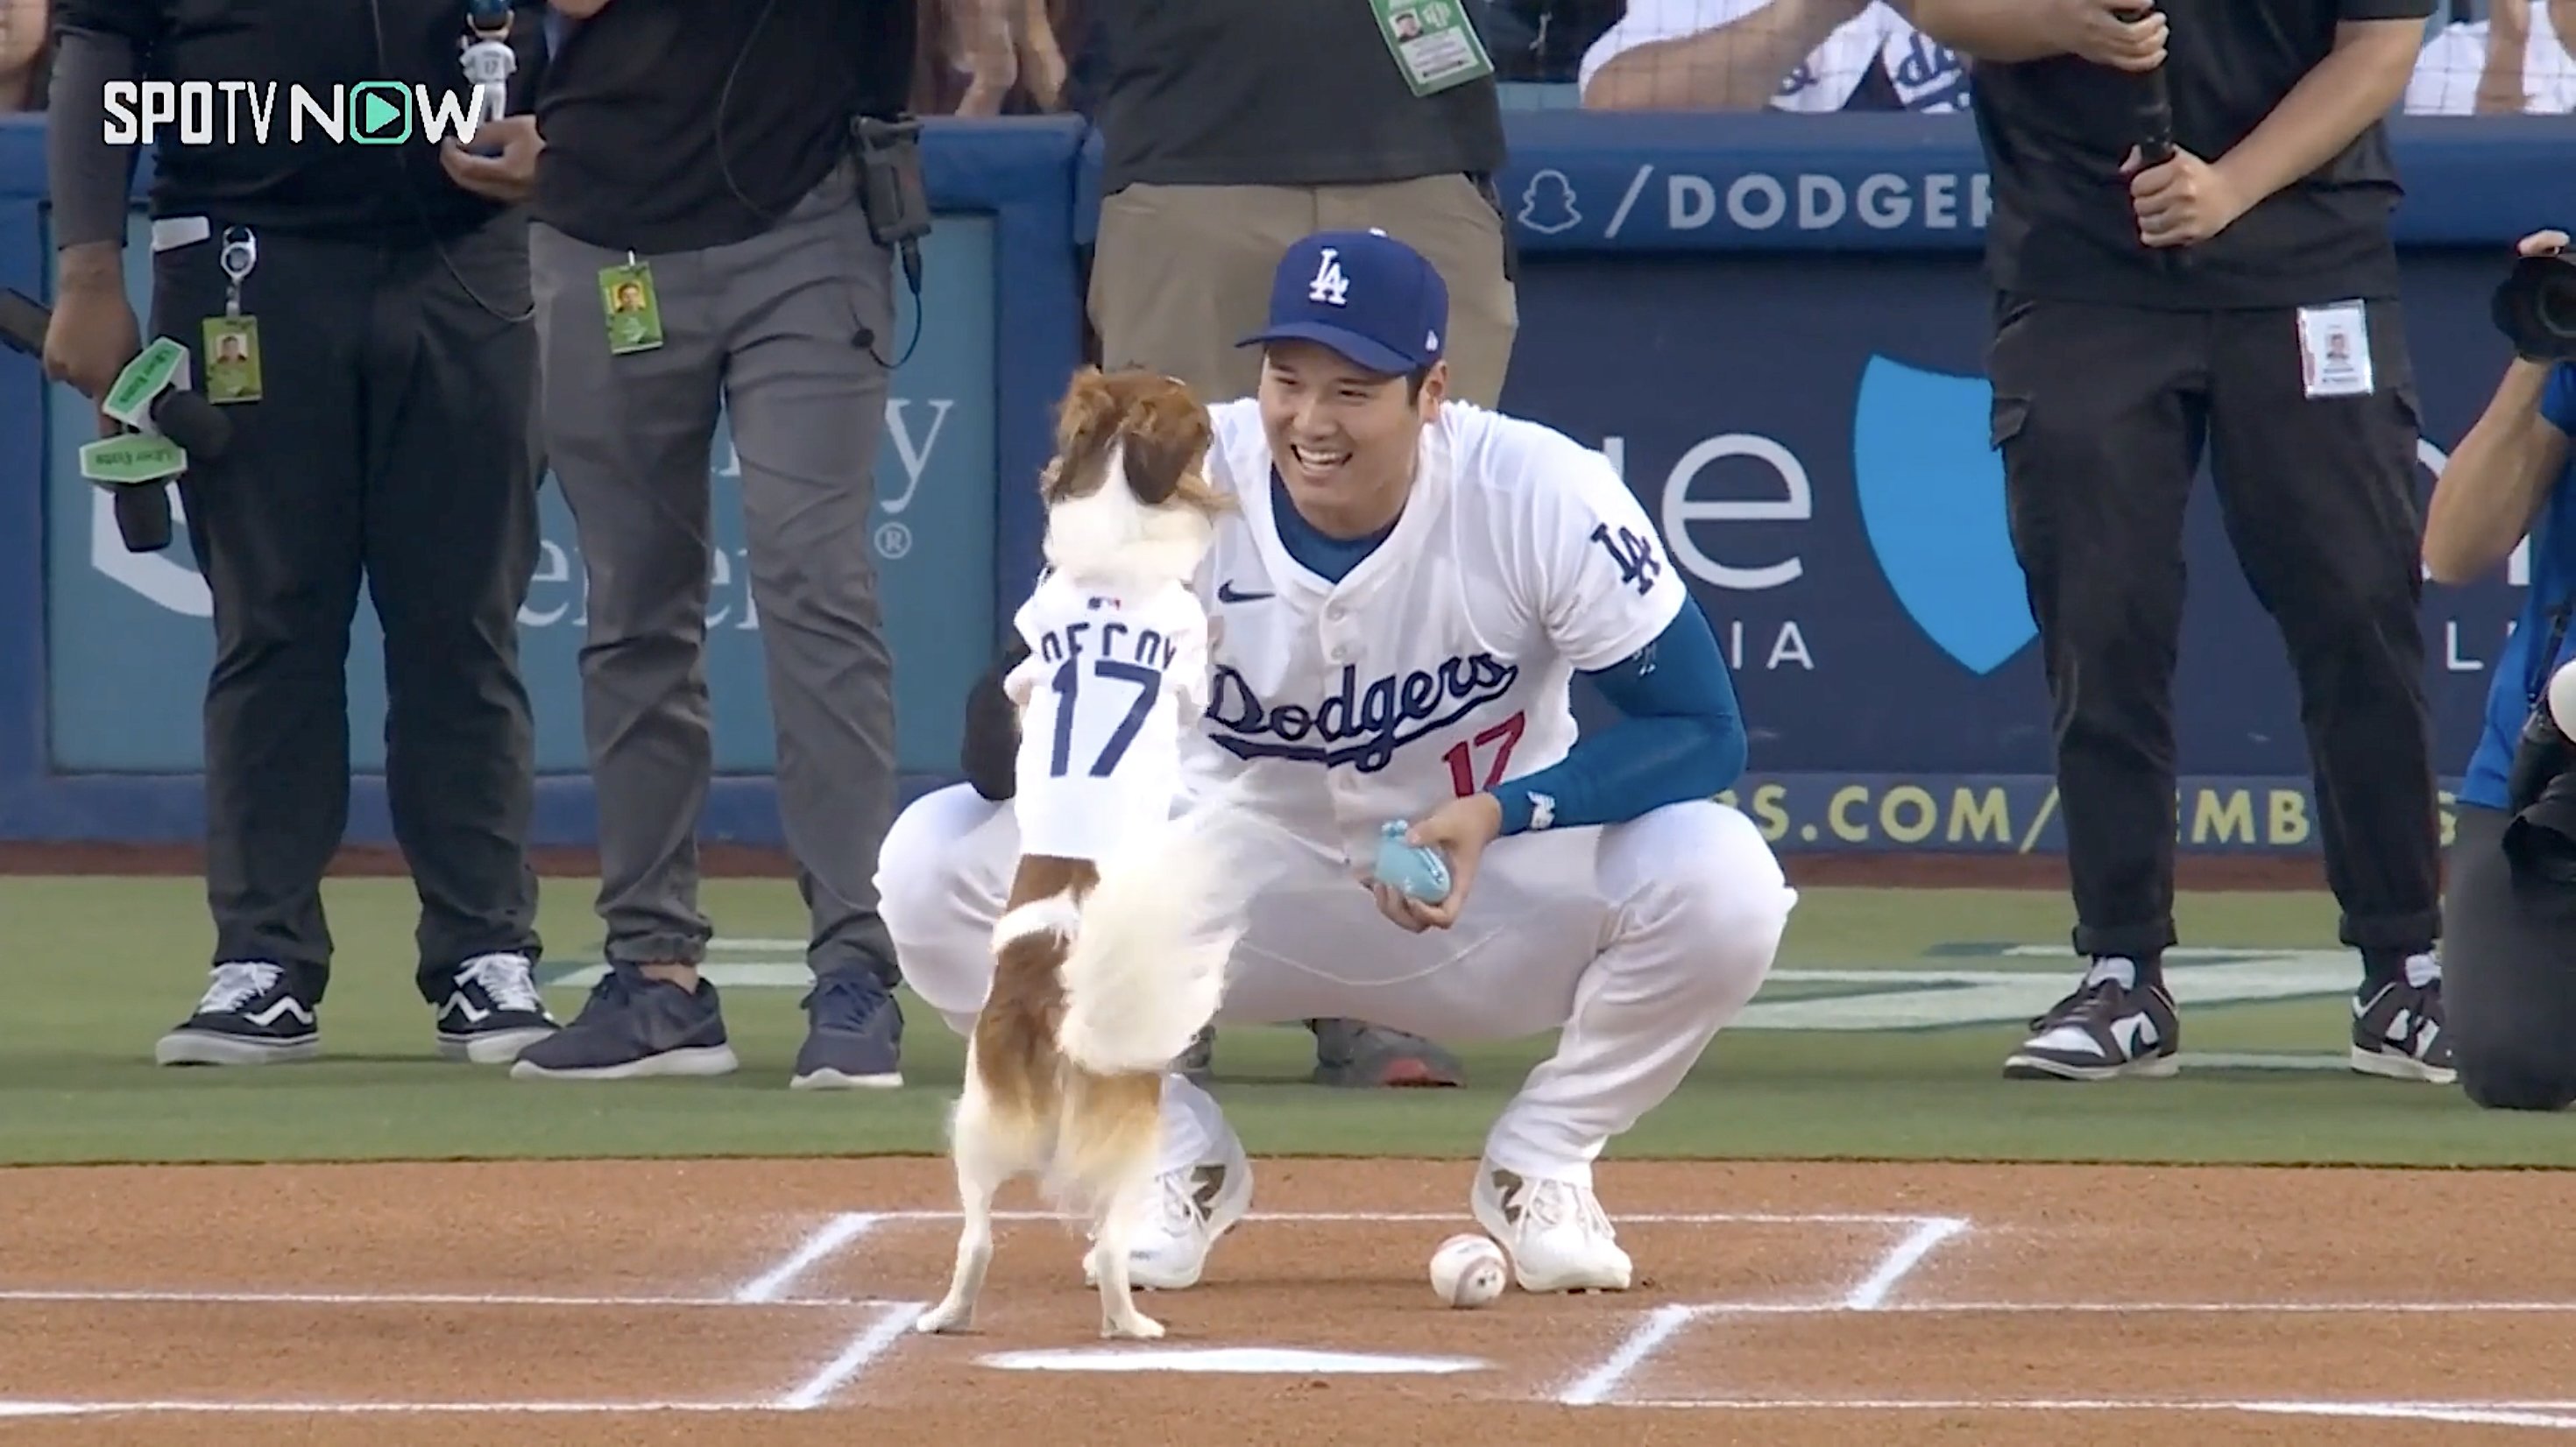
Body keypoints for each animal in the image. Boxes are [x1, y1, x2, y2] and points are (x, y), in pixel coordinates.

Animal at [916, 365, 1256, 1338]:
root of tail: (1053, 998)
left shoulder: (1027, 663)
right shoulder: (1182, 664)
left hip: (980, 1117)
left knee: (977, 1236)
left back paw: (947, 1316)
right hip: (1129, 1125)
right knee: (1106, 1245)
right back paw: (1130, 1324)